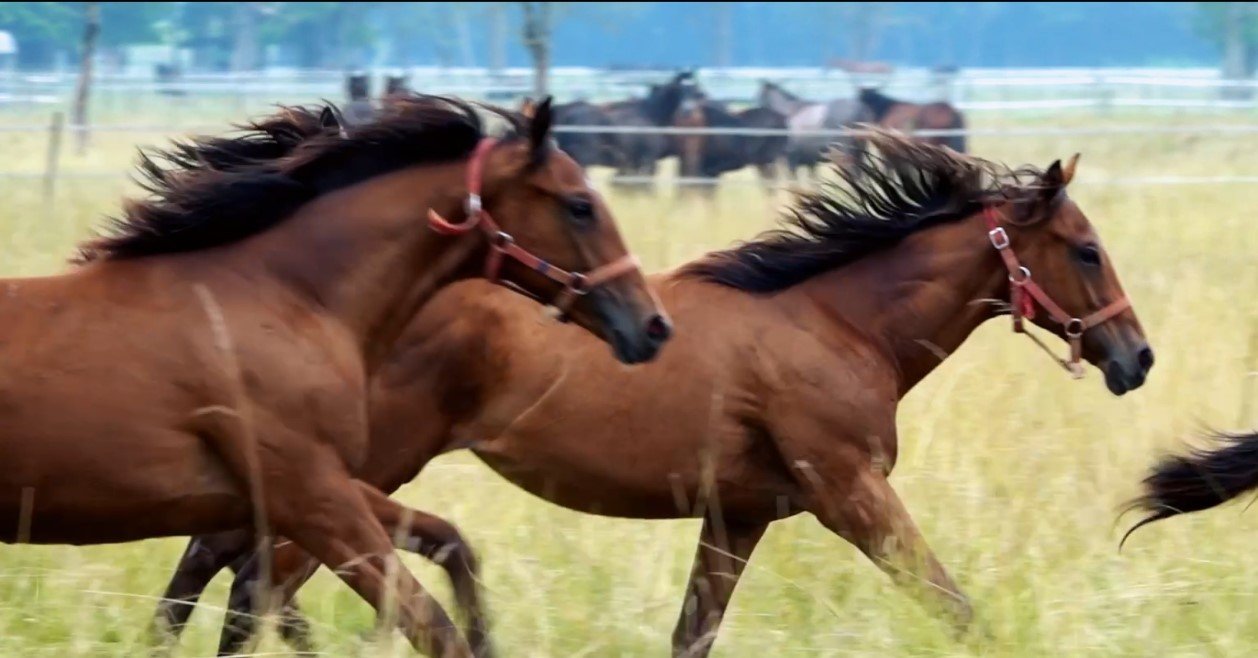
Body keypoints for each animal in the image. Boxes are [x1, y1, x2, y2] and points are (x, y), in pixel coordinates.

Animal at [0, 94, 670, 658]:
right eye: (580, 205)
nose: (653, 326)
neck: (288, 298)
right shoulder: (312, 495)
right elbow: (430, 624)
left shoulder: (325, 484)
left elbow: (450, 544)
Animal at [150, 130, 1153, 657]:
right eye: (1087, 250)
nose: (1137, 358)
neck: (838, 323)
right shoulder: (848, 492)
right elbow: (952, 604)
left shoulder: (739, 514)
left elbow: (692, 634)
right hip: (356, 475)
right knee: (254, 578)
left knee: (222, 563)